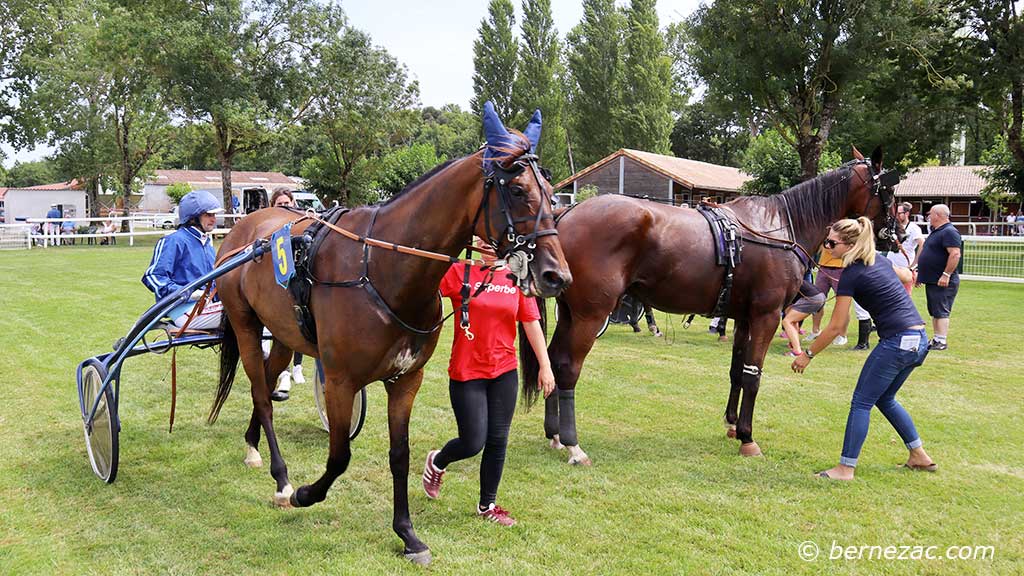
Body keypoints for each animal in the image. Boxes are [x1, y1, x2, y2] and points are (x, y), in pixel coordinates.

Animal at [206, 101, 569, 561]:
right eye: (519, 190)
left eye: (551, 190)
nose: (557, 275)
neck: (384, 268)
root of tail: (244, 226)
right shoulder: (341, 380)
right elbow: (340, 455)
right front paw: (306, 493)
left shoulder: (406, 379)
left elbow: (400, 454)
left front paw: (407, 534)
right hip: (246, 326)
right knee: (260, 393)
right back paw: (281, 477)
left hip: (285, 337)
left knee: (268, 384)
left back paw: (253, 445)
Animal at [520, 146, 897, 461]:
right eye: (890, 191)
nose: (895, 231)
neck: (778, 228)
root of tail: (566, 213)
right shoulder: (766, 316)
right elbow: (753, 375)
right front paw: (747, 437)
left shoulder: (744, 317)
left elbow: (737, 371)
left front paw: (732, 423)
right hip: (590, 315)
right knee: (568, 368)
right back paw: (572, 443)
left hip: (570, 314)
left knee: (552, 362)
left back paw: (554, 434)